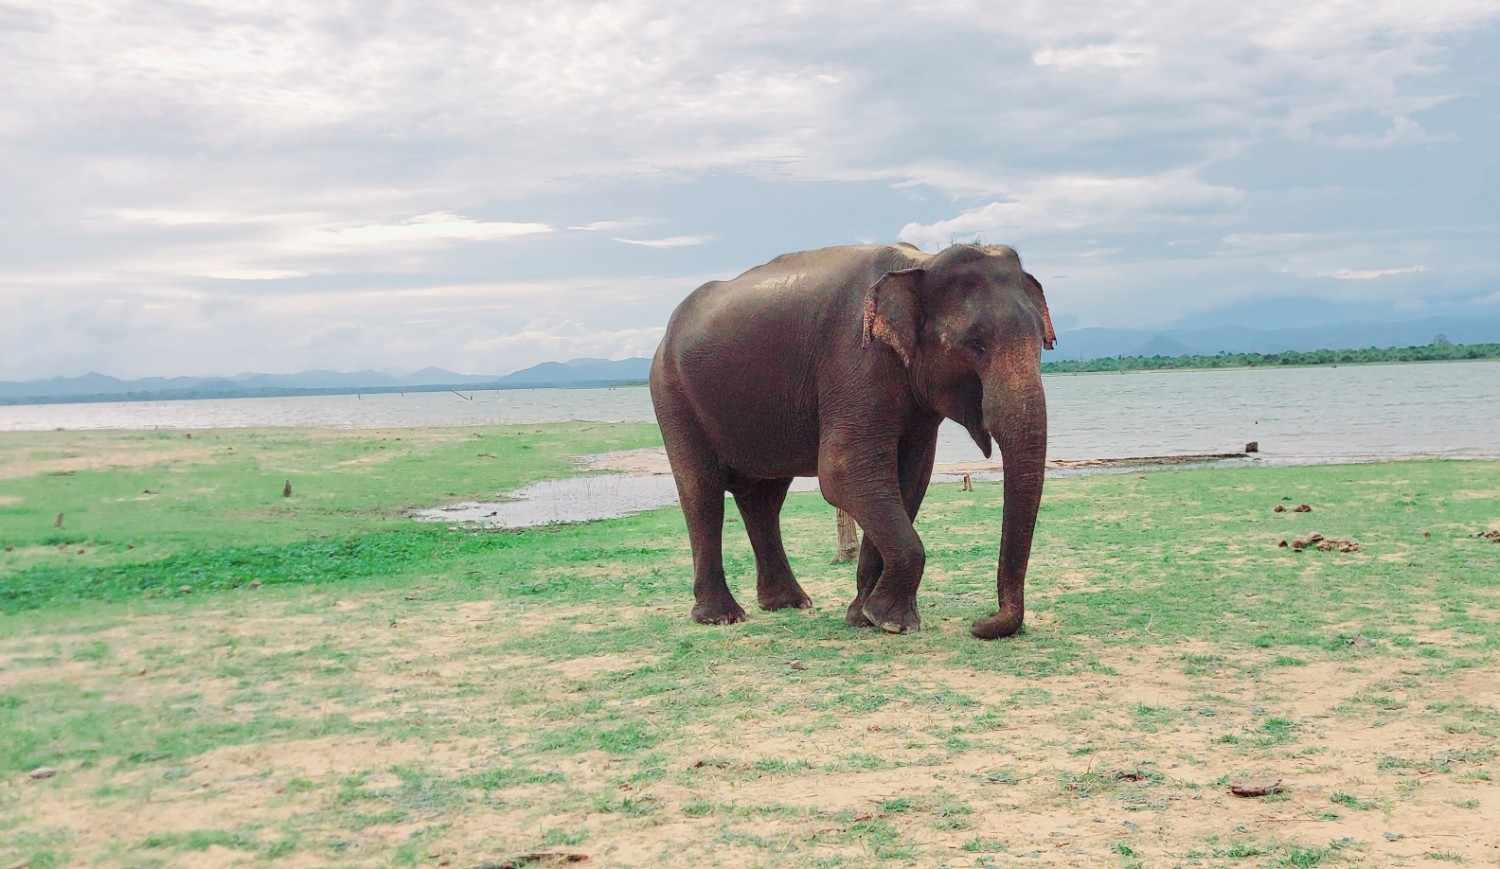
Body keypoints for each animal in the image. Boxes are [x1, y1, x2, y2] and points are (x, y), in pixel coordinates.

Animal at [648, 242, 1055, 639]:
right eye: (976, 345)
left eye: (1042, 343)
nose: (981, 624)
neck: (922, 263)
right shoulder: (855, 359)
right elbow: (844, 473)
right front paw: (893, 622)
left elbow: (910, 479)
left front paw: (865, 617)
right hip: (671, 394)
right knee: (702, 492)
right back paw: (721, 617)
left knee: (764, 499)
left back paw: (788, 603)